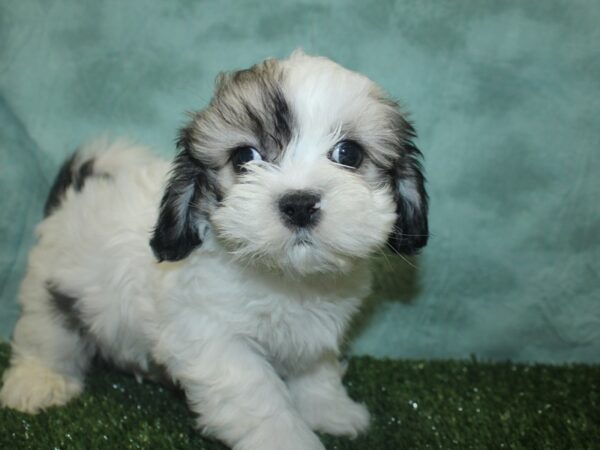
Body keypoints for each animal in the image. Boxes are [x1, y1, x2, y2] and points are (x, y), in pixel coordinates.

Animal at [2, 51, 428, 450]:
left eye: (348, 154)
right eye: (245, 157)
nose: (299, 204)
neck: (284, 277)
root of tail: (76, 190)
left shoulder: (308, 336)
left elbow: (315, 371)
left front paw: (331, 410)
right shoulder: (213, 338)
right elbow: (258, 397)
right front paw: (287, 438)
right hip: (52, 285)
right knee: (45, 334)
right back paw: (39, 381)